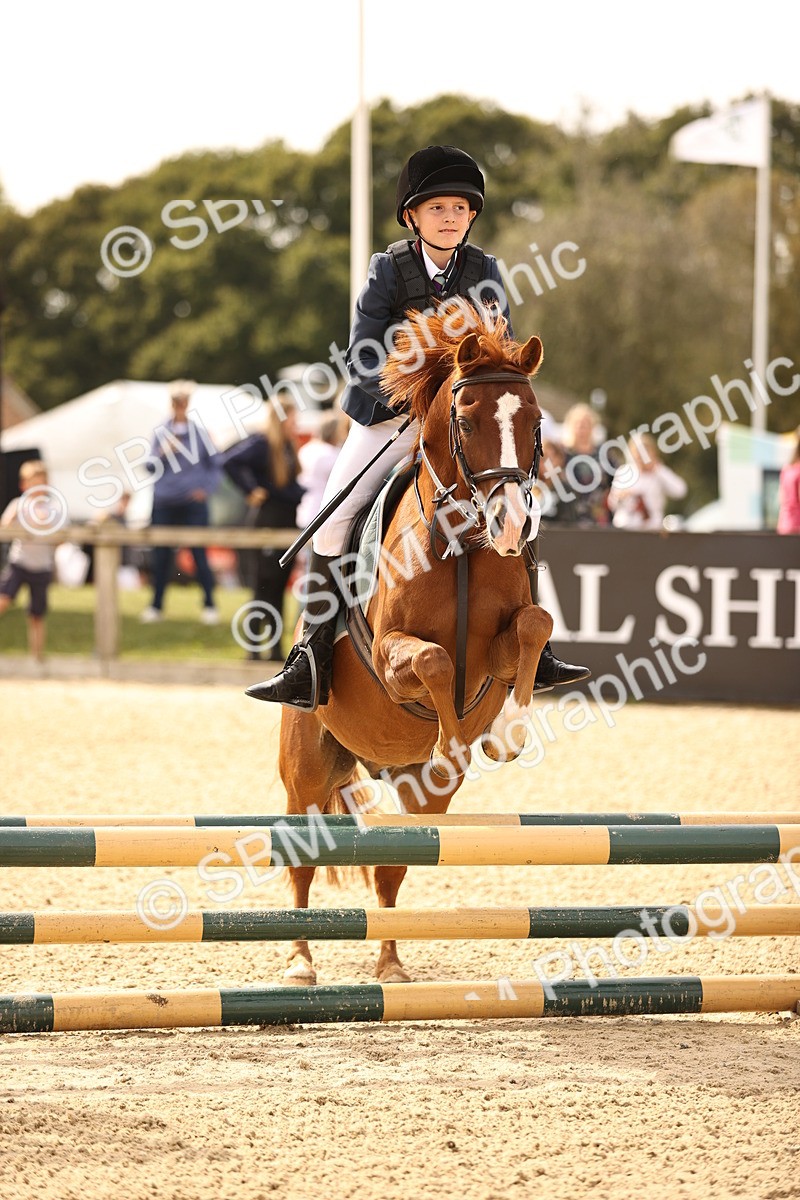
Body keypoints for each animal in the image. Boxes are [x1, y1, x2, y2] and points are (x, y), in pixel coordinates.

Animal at [278, 304, 554, 984]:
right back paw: (299, 960)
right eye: (467, 421)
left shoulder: (499, 651)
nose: (511, 525)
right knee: (300, 858)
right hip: (305, 769)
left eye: (534, 422)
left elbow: (533, 627)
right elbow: (432, 658)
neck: (460, 544)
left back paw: (391, 965)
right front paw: (453, 742)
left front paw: (506, 733)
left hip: (418, 796)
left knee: (393, 864)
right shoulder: (388, 655)